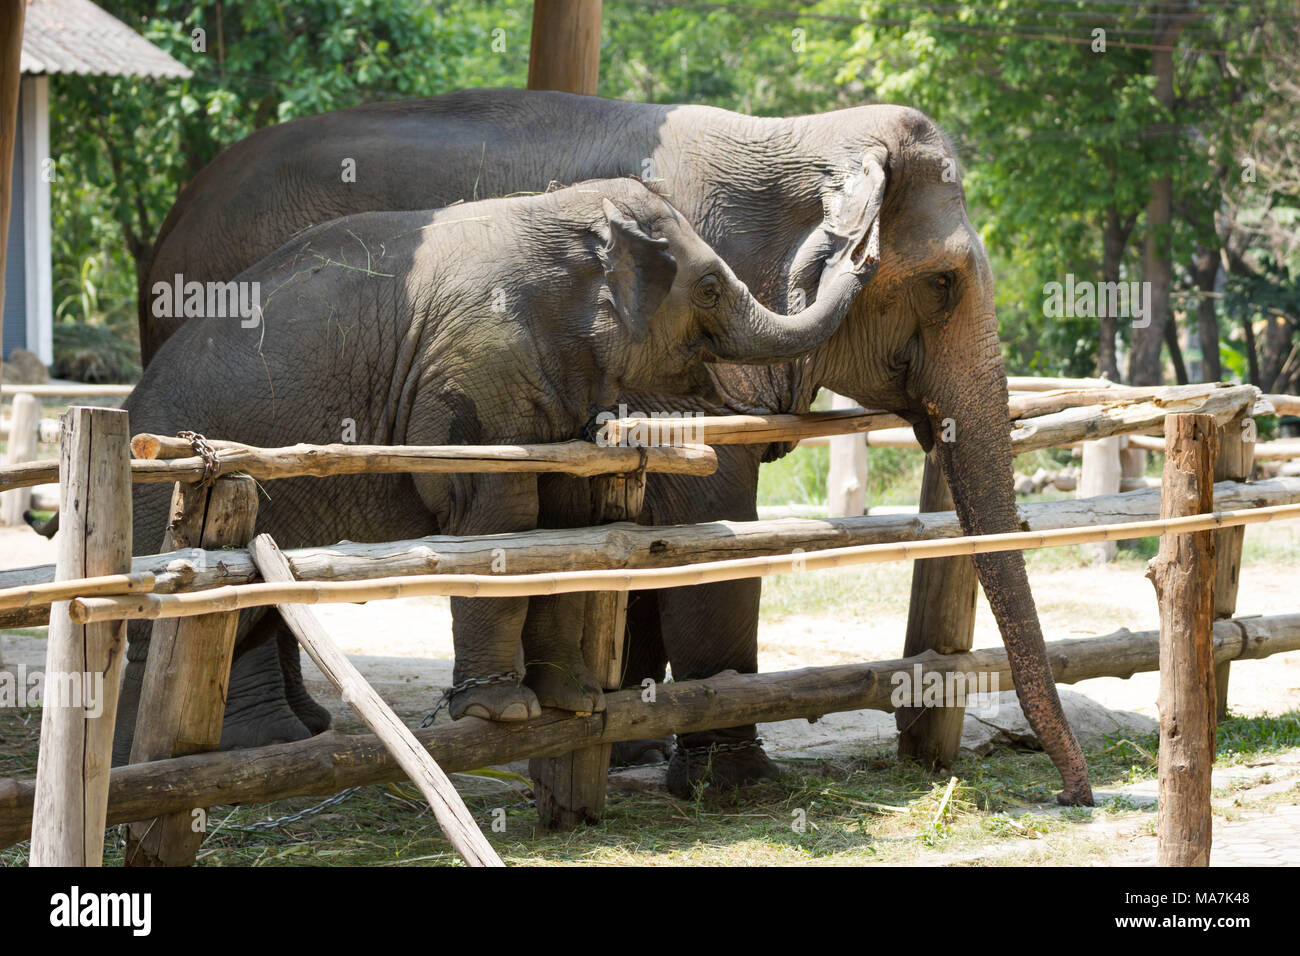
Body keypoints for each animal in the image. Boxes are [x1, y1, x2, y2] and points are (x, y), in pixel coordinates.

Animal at [119, 175, 873, 749]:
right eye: (711, 288)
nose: (853, 243)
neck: (557, 211)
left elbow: (563, 523)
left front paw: (572, 702)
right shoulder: (474, 374)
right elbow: (500, 515)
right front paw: (502, 713)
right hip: (164, 491)